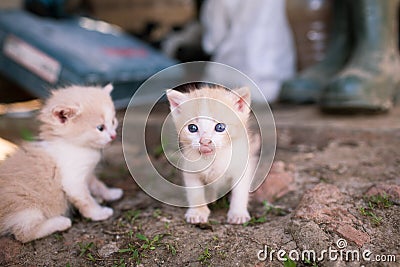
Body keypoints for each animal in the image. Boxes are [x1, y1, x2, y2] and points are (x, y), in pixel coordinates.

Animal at [0, 85, 123, 244]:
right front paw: (98, 213)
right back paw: (60, 222)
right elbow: (86, 200)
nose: (113, 136)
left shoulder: (87, 173)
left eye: (113, 121)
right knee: (23, 234)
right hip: (25, 207)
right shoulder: (73, 181)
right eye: (100, 128)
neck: (77, 145)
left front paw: (110, 193)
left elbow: (98, 185)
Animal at [166, 85, 258, 224]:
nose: (204, 141)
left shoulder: (242, 166)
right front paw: (197, 212)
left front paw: (238, 213)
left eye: (220, 127)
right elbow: (195, 192)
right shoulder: (190, 169)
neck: (212, 159)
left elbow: (240, 192)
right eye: (192, 128)